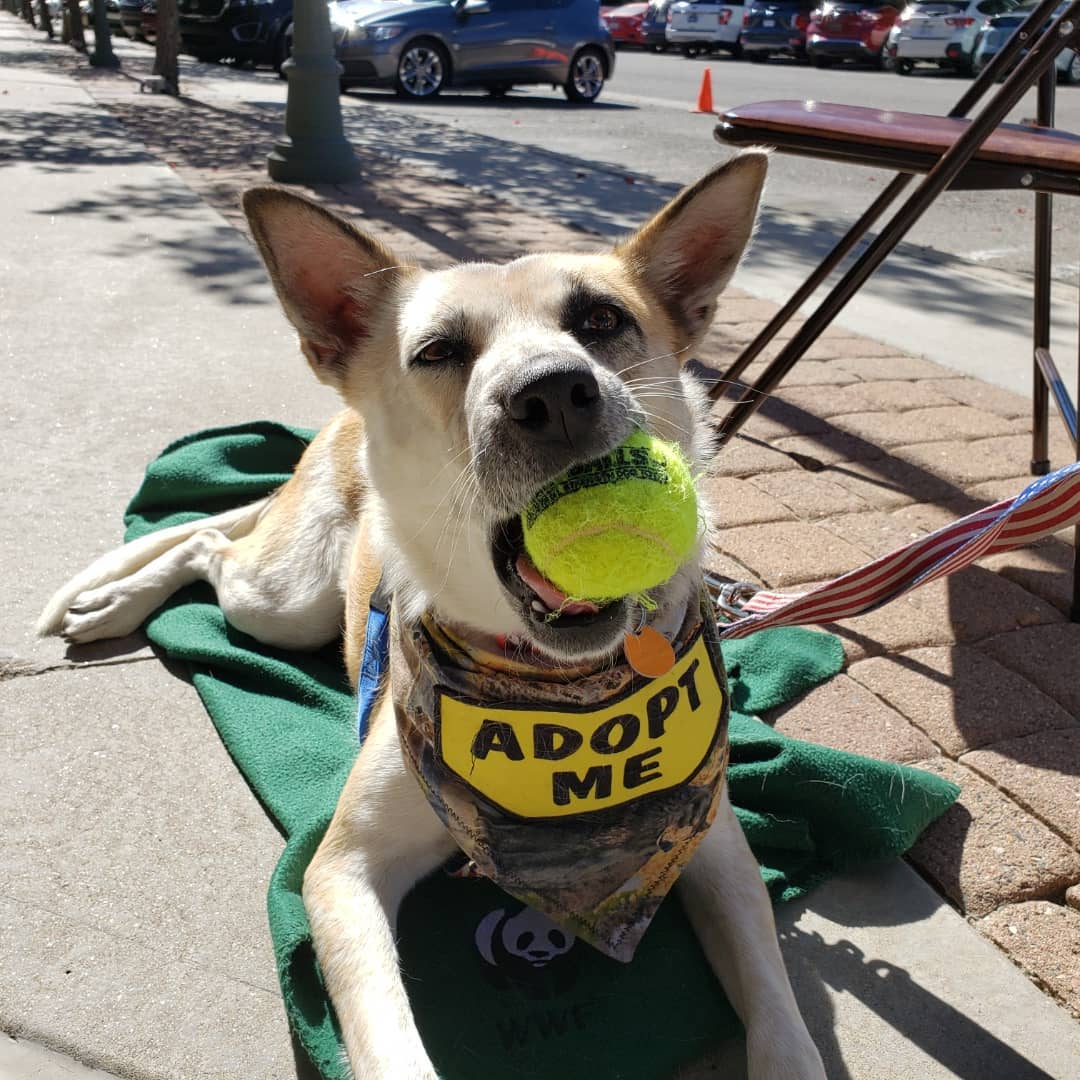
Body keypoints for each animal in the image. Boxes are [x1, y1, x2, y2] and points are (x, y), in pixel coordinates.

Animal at [38, 154, 820, 1080]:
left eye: (601, 319)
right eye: (439, 351)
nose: (554, 394)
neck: (560, 686)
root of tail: (337, 420)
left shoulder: (716, 841)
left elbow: (779, 1005)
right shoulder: (338, 870)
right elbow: (387, 1040)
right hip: (281, 603)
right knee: (205, 543)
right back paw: (117, 600)